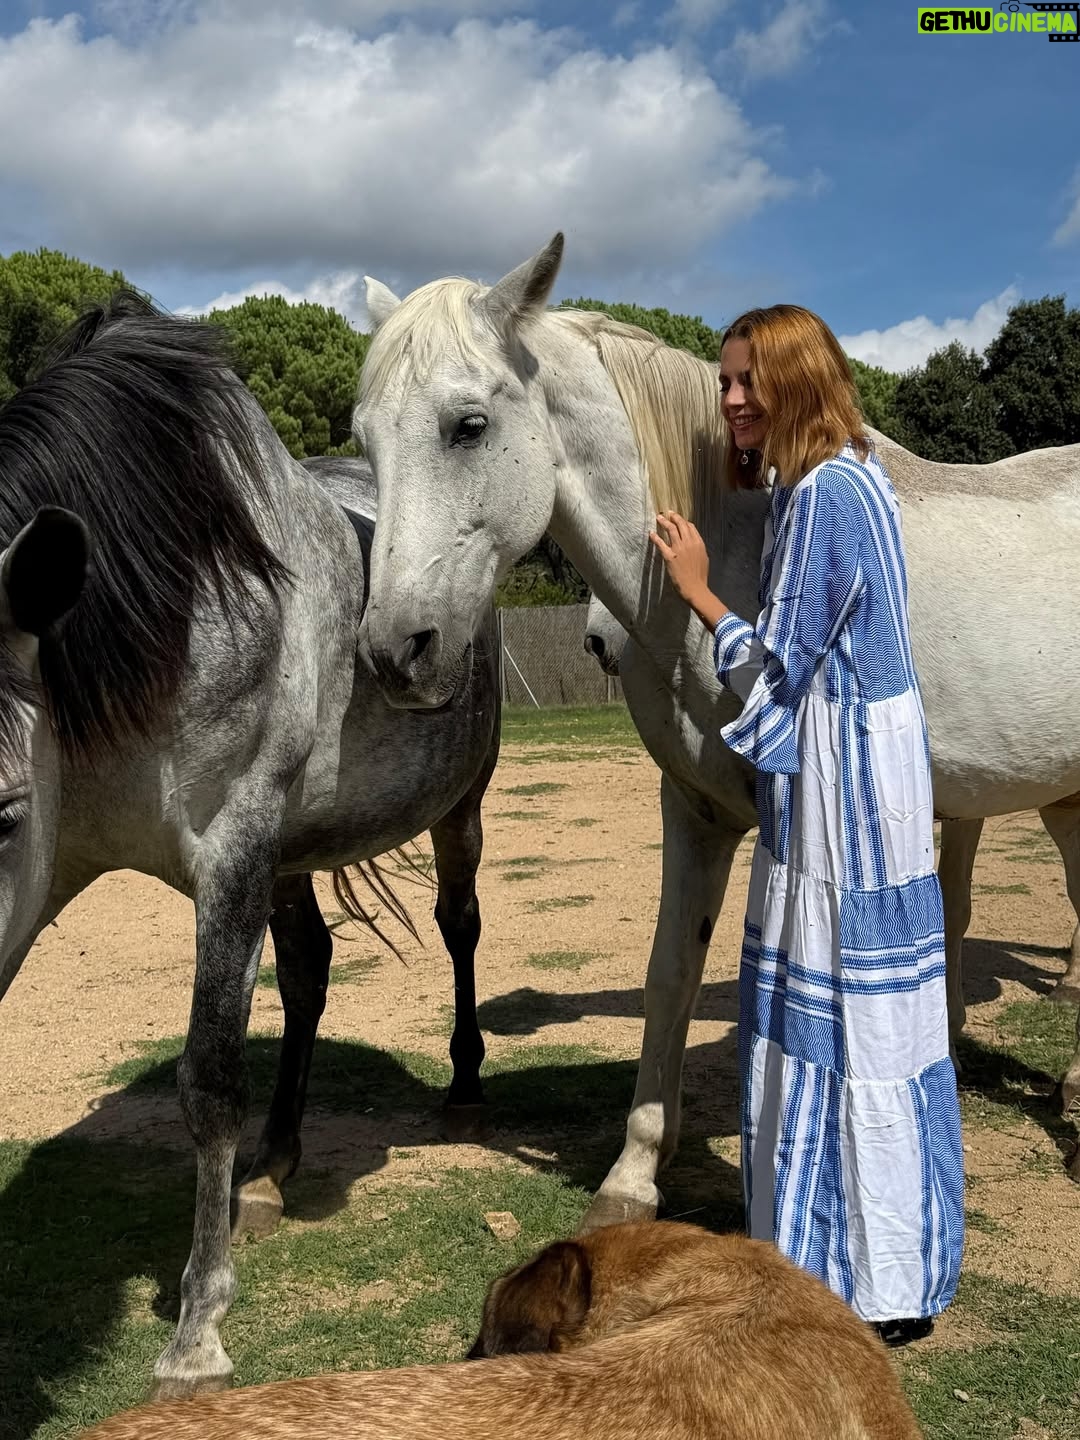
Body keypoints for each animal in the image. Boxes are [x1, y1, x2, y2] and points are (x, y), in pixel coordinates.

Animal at [0, 291, 502, 1400]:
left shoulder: (229, 850)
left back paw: (461, 1091)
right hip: (291, 857)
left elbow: (208, 1078)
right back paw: (274, 1163)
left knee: (459, 927)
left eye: (2, 813)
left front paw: (197, 1330)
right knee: (310, 971)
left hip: (456, 808)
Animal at [353, 232, 1080, 1240]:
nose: (394, 651)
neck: (735, 543)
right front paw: (631, 1179)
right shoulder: (693, 811)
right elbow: (672, 975)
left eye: (467, 425)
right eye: (363, 439)